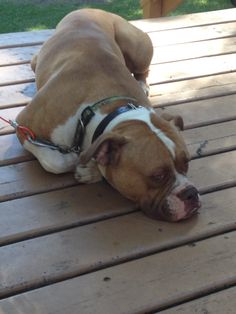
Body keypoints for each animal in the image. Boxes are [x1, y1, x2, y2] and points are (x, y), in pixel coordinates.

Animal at [16, 8, 201, 222]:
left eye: (186, 162)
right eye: (158, 176)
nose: (191, 193)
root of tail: (90, 9)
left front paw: (91, 170)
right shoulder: (24, 124)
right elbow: (56, 162)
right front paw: (75, 161)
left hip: (137, 49)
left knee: (143, 70)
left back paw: (141, 84)